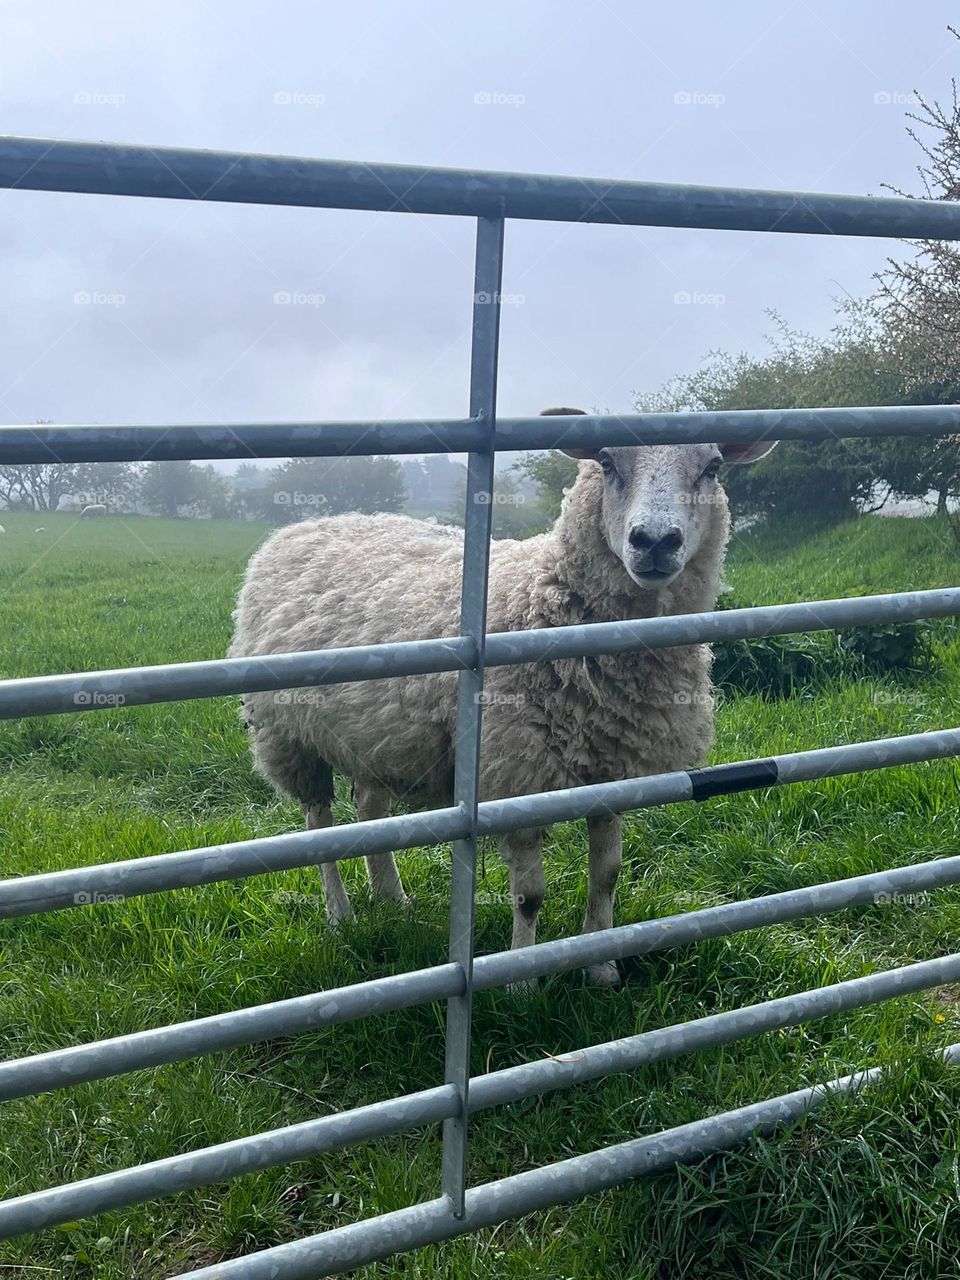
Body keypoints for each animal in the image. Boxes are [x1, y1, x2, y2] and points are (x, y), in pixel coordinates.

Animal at [230, 408, 776, 983]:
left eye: (713, 467)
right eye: (606, 461)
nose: (653, 541)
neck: (547, 598)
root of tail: (302, 527)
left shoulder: (615, 772)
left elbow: (607, 875)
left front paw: (602, 968)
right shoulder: (516, 774)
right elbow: (529, 895)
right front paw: (522, 978)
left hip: (374, 737)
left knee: (370, 811)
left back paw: (391, 899)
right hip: (290, 736)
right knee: (319, 827)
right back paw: (341, 914)